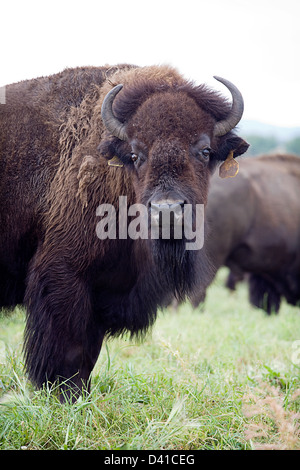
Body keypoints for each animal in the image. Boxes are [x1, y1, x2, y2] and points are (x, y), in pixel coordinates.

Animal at [0, 64, 248, 398]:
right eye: (135, 154)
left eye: (205, 150)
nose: (167, 210)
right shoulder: (64, 274)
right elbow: (69, 348)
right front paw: (66, 395)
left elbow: (88, 353)